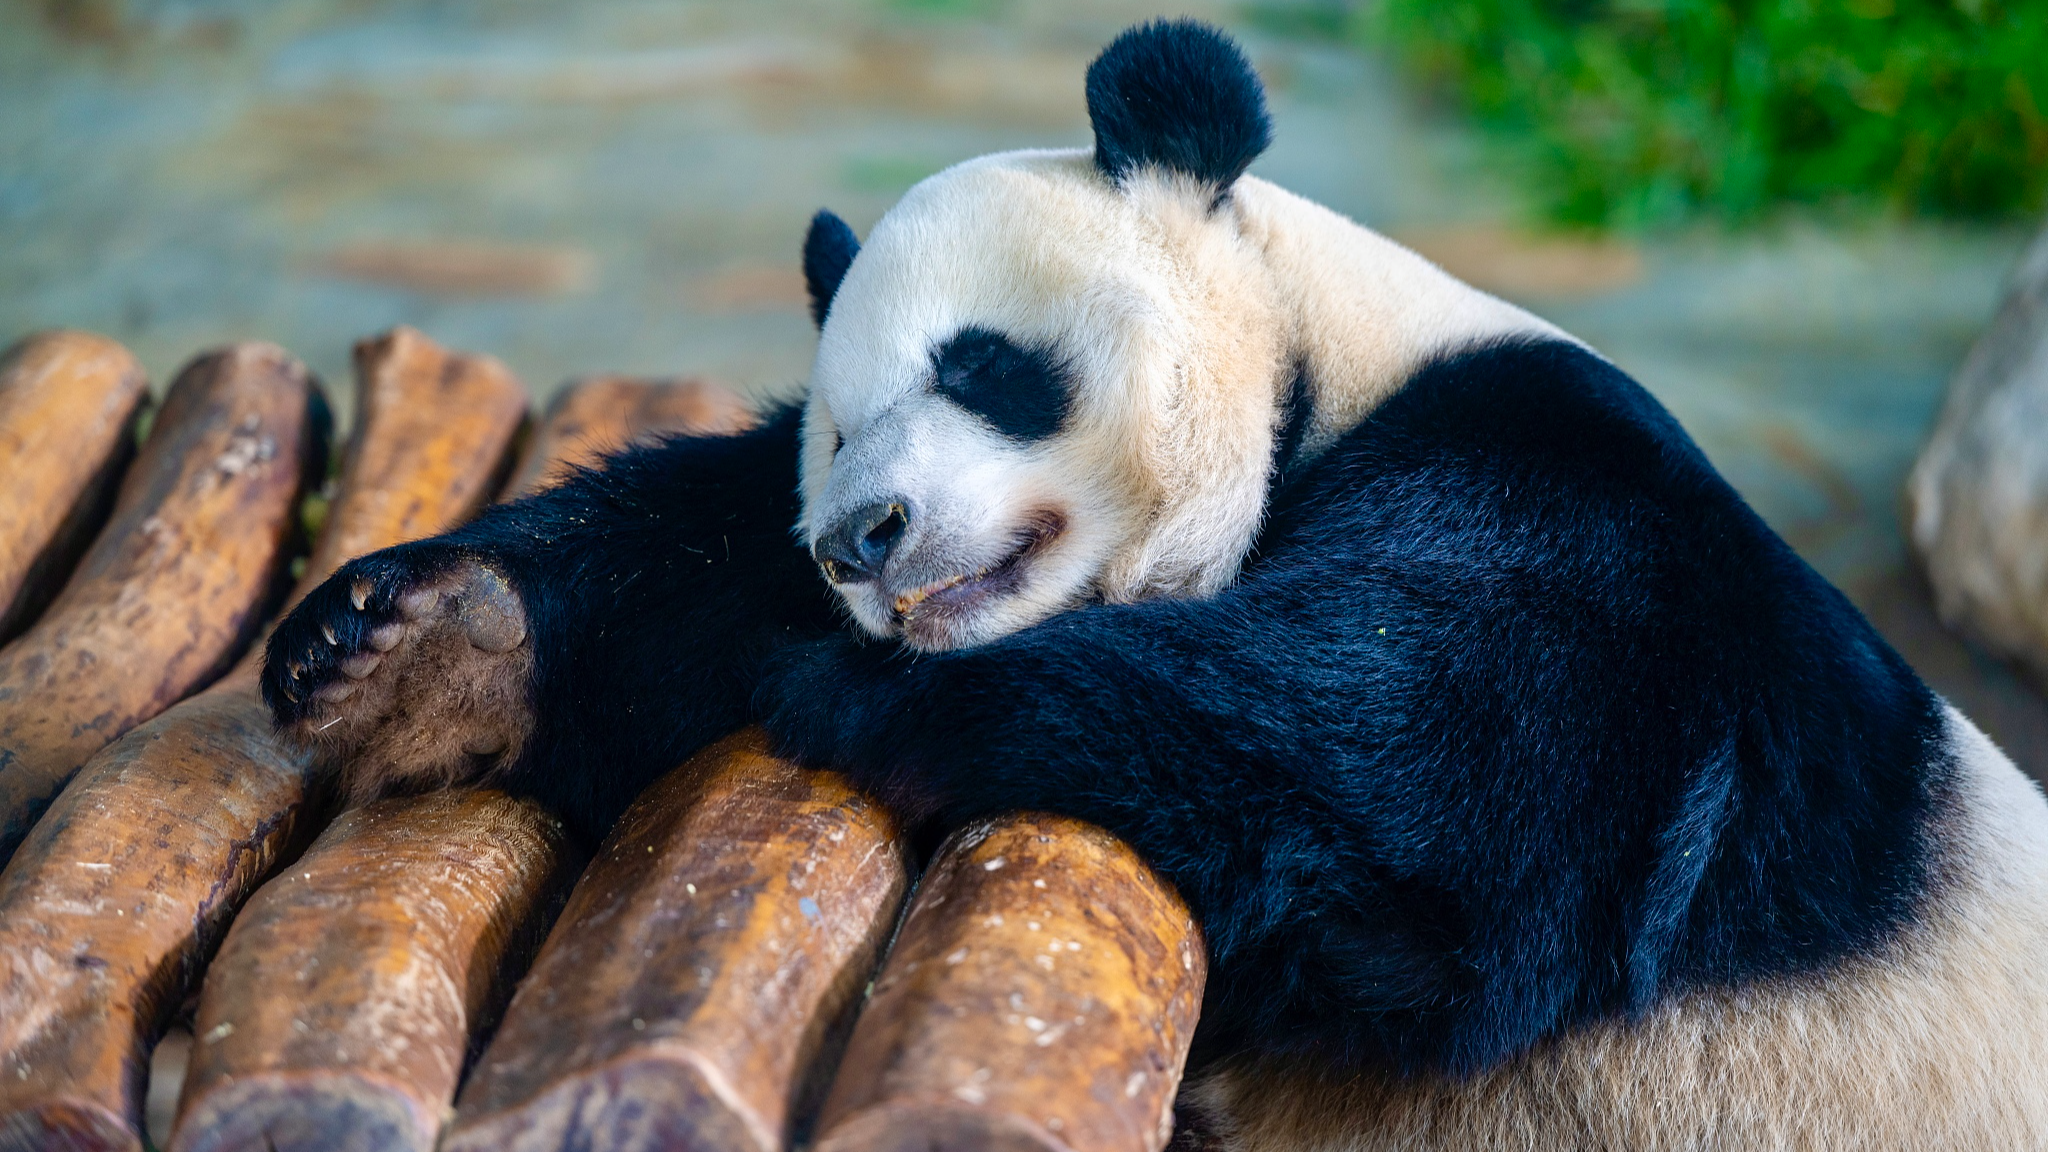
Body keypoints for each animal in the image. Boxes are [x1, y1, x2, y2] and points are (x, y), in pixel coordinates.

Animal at [263, 19, 2048, 1150]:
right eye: (840, 426)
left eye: (984, 366)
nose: (862, 541)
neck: (1332, 357)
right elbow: (694, 543)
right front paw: (419, 647)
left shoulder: (1580, 522)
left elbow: (1423, 803)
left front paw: (850, 689)